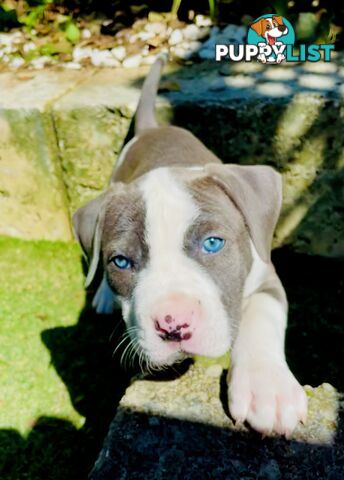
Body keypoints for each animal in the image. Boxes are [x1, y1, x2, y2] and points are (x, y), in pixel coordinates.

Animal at [72, 54, 306, 436]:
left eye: (213, 243)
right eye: (120, 262)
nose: (173, 325)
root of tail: (152, 128)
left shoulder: (265, 275)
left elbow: (262, 317)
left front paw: (267, 389)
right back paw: (104, 296)